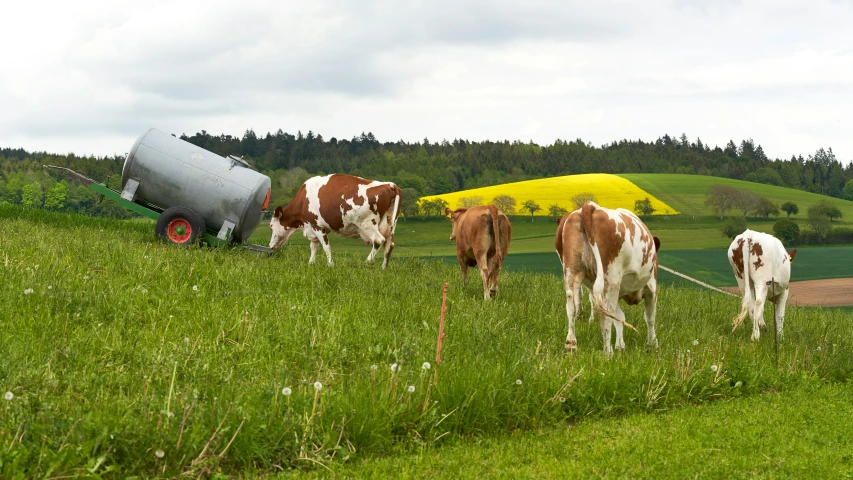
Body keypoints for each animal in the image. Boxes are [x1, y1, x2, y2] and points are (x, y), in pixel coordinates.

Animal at [272, 173, 402, 270]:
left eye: (271, 225)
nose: (271, 246)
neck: (303, 200)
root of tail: (389, 185)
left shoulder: (316, 225)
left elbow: (326, 247)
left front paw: (330, 265)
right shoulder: (315, 228)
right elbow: (314, 246)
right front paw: (311, 263)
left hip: (367, 224)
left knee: (378, 240)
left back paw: (367, 262)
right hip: (390, 225)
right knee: (389, 245)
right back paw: (383, 268)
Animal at [556, 201, 664, 354]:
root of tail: (589, 206)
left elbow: (619, 318)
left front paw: (620, 346)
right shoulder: (651, 286)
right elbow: (649, 317)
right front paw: (652, 345)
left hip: (572, 270)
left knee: (572, 305)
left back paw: (571, 344)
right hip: (610, 280)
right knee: (606, 313)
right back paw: (608, 351)